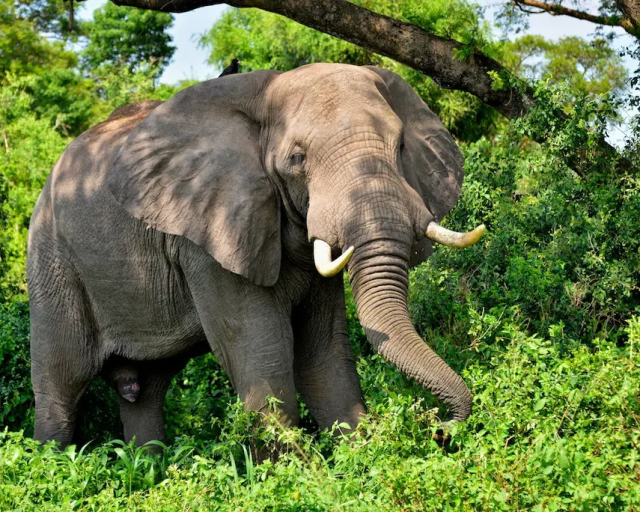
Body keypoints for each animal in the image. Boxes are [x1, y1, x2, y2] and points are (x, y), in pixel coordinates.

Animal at [27, 63, 485, 447]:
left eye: (402, 145)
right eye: (298, 159)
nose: (438, 426)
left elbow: (323, 355)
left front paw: (358, 459)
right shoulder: (210, 232)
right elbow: (263, 355)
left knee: (146, 393)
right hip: (52, 260)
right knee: (61, 387)